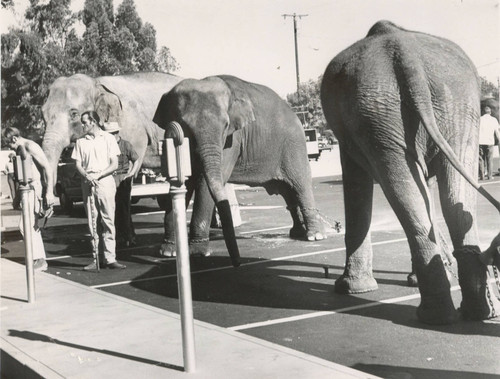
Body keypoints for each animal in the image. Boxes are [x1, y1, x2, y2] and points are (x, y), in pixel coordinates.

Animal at [152, 74, 328, 264]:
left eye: (225, 125)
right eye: (184, 125)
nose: (237, 262)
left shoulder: (233, 139)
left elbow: (205, 182)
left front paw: (198, 253)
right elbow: (186, 179)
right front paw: (168, 252)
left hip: (294, 145)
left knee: (300, 185)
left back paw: (315, 236)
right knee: (287, 191)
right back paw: (297, 233)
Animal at [320, 19, 500, 326]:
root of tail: (404, 52)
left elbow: (356, 181)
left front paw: (349, 289)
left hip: (381, 111)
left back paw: (435, 316)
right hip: (448, 106)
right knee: (450, 199)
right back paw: (475, 313)